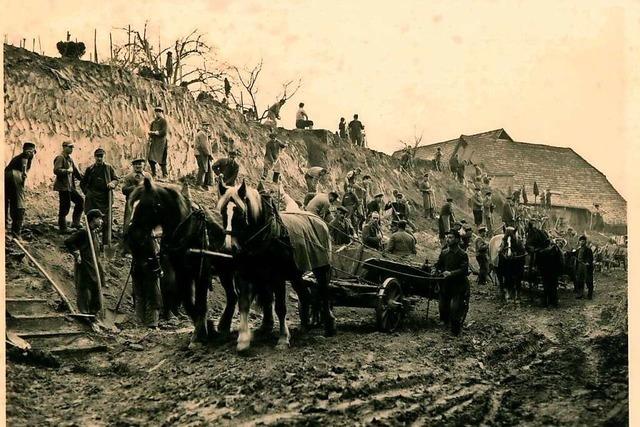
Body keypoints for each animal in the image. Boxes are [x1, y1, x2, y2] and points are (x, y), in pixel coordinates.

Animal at [125, 179, 238, 346]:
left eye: (145, 205)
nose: (131, 236)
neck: (188, 230)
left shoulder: (202, 272)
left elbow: (201, 303)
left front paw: (200, 334)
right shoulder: (182, 272)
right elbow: (188, 302)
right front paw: (209, 328)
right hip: (225, 271)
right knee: (233, 296)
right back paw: (223, 327)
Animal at [218, 180, 336, 352]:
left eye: (239, 213)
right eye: (222, 212)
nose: (228, 248)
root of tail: (320, 220)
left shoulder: (277, 277)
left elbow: (280, 307)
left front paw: (283, 338)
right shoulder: (245, 274)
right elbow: (244, 303)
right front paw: (243, 339)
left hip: (322, 268)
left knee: (324, 292)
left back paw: (330, 325)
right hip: (295, 274)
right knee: (305, 295)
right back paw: (305, 326)